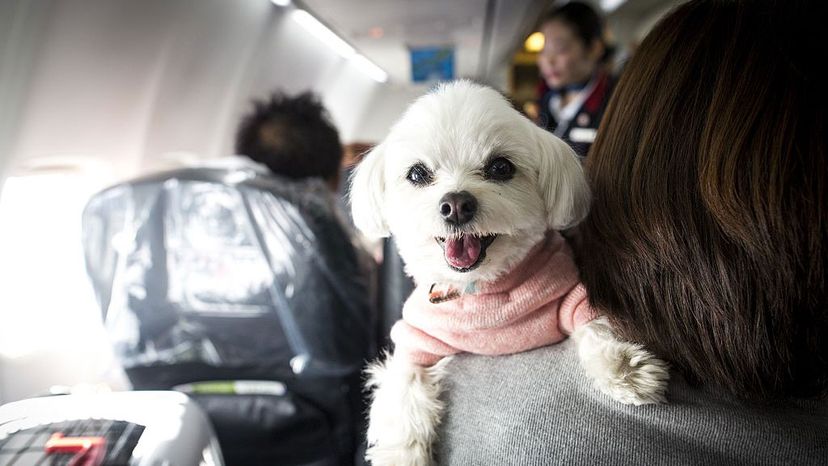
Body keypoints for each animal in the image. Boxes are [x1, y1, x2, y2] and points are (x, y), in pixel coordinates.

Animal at [348, 82, 668, 464]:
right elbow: (403, 389)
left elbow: (594, 324)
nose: (456, 204)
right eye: (417, 174)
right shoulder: (416, 339)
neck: (482, 289)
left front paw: (625, 370)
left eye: (500, 167)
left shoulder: (569, 293)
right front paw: (402, 453)